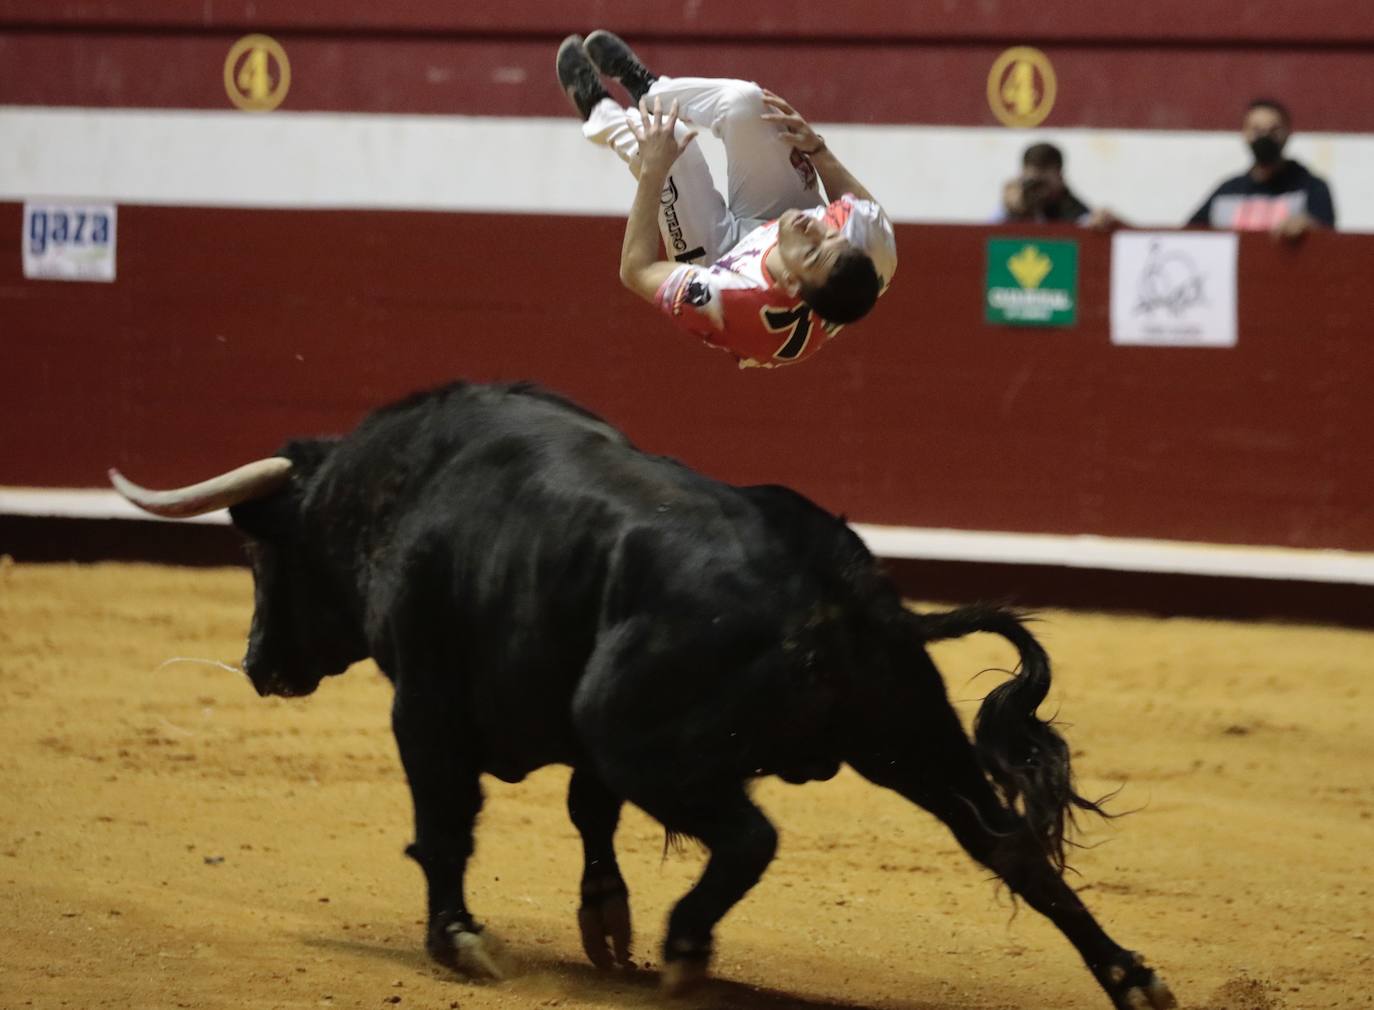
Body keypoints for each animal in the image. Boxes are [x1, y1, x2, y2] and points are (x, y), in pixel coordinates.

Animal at [112, 382, 1176, 1005]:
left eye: (259, 554)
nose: (259, 664)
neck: (398, 490)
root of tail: (838, 582)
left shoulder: (424, 704)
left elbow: (443, 824)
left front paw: (461, 940)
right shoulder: (573, 739)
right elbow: (590, 814)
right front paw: (605, 924)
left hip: (643, 736)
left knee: (751, 836)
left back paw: (688, 947)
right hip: (908, 734)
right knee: (1010, 848)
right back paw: (1133, 980)